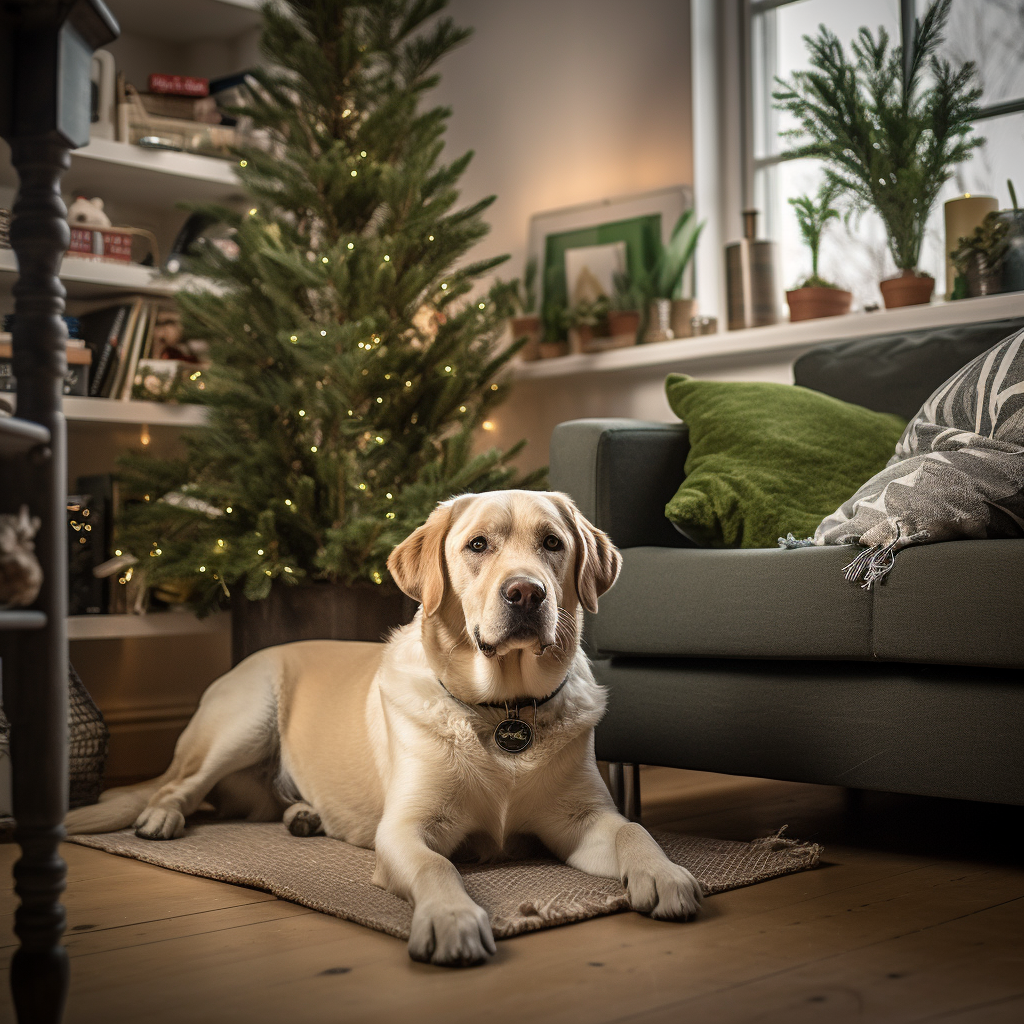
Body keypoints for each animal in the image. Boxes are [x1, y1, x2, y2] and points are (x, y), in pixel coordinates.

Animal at [66, 491, 704, 962]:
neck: (505, 711)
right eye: (477, 545)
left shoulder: (582, 819)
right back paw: (161, 818)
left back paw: (303, 815)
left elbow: (634, 831)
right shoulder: (405, 829)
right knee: (179, 784)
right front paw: (452, 917)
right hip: (246, 716)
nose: (526, 592)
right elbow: (437, 865)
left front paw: (665, 874)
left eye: (553, 543)